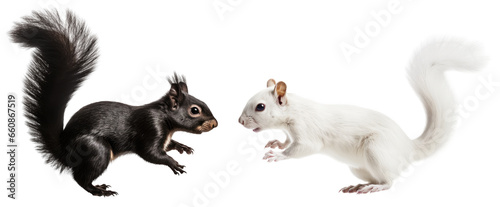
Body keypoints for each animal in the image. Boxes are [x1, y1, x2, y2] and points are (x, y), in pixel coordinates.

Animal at [9, 9, 217, 196]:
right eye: (195, 110)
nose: (215, 124)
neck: (164, 117)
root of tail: (65, 153)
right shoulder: (150, 127)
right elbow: (150, 153)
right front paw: (173, 163)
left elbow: (168, 145)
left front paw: (182, 147)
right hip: (96, 150)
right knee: (80, 178)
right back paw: (99, 190)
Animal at [239, 38, 488, 194]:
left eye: (260, 107)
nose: (240, 121)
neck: (293, 111)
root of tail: (407, 147)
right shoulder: (291, 131)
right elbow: (287, 141)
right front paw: (276, 143)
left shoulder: (307, 131)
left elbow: (303, 148)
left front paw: (278, 155)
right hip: (360, 167)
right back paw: (356, 187)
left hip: (377, 150)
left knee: (389, 181)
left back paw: (374, 188)